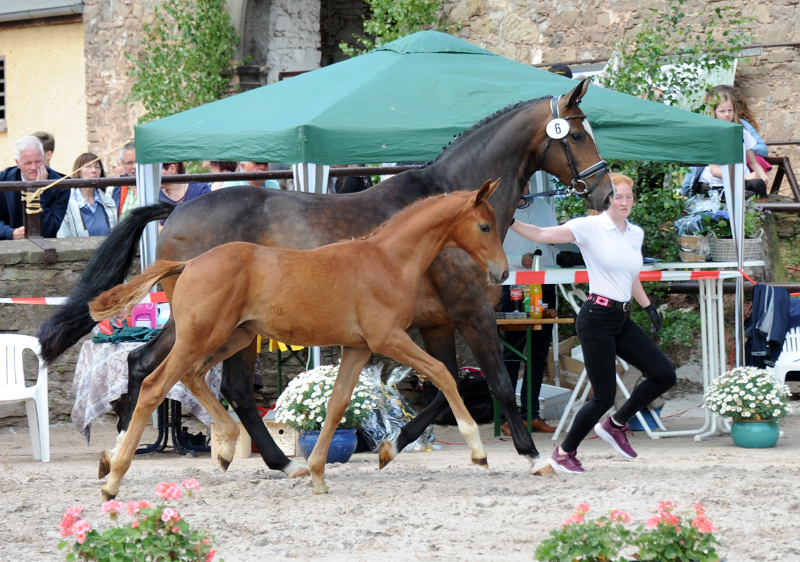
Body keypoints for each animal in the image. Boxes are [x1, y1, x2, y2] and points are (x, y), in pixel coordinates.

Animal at [90, 179, 510, 494]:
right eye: (484, 226)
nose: (502, 272)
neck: (387, 260)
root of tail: (189, 262)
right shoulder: (388, 338)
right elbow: (442, 373)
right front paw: (477, 449)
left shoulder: (357, 348)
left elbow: (337, 404)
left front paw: (319, 473)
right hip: (201, 336)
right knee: (155, 383)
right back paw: (114, 476)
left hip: (232, 337)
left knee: (194, 376)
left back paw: (228, 445)